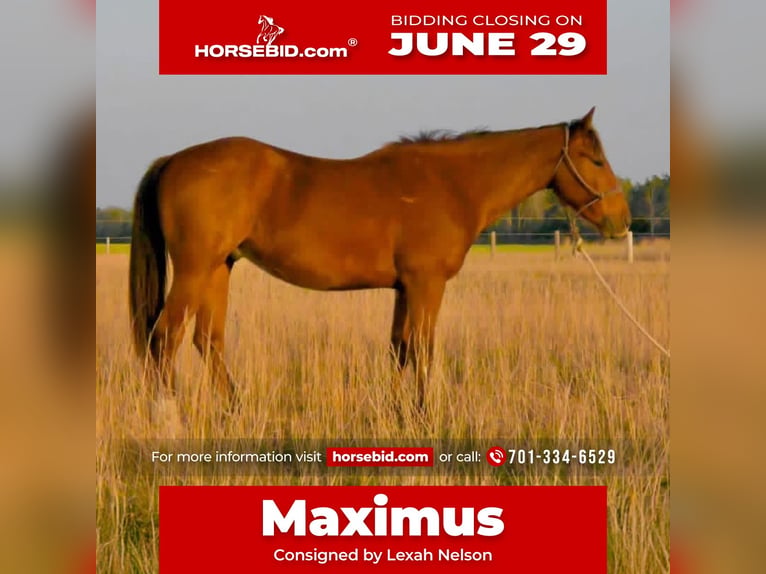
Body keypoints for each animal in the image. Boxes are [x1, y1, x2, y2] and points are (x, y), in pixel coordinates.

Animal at [129, 107, 631, 415]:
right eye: (594, 159)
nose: (621, 221)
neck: (451, 183)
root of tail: (173, 160)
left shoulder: (405, 287)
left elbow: (400, 348)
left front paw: (397, 413)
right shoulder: (427, 283)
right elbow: (423, 349)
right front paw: (425, 415)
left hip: (219, 268)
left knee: (207, 341)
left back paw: (234, 410)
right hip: (195, 270)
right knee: (165, 336)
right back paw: (169, 416)